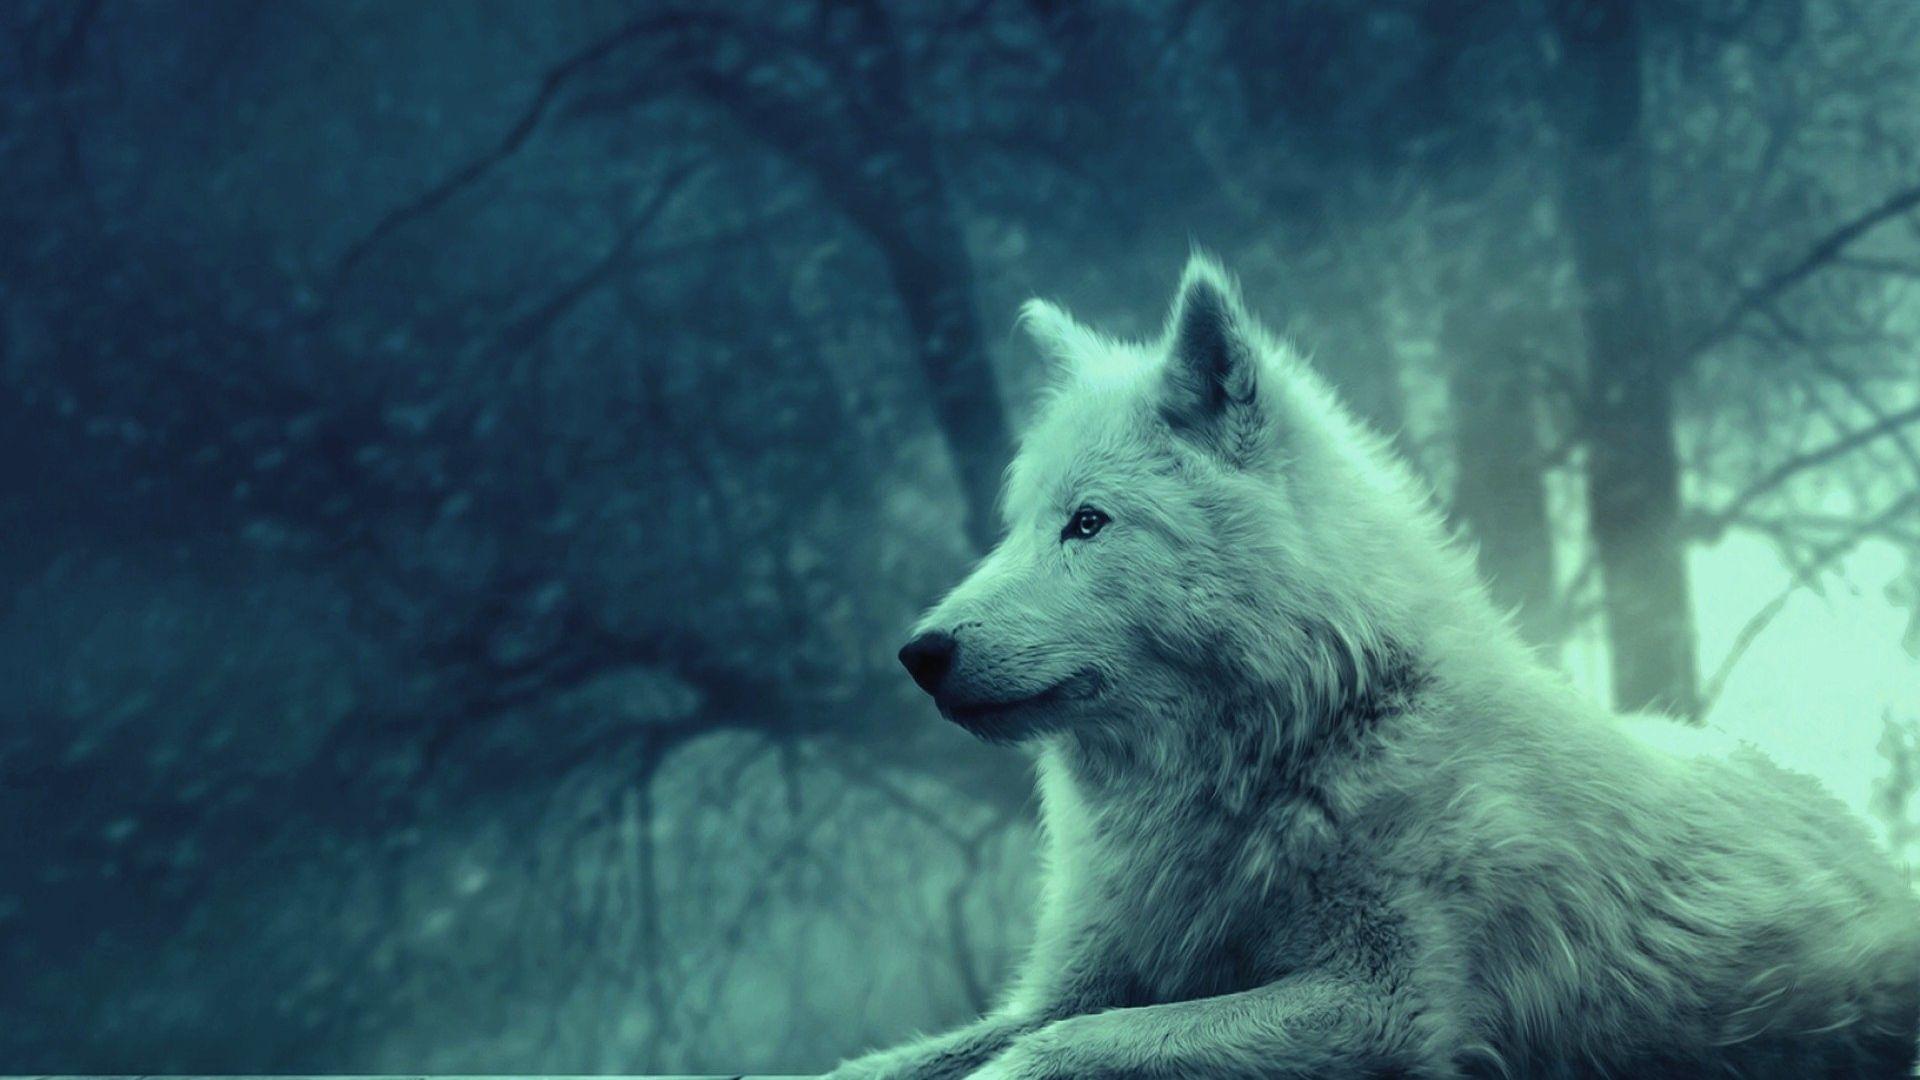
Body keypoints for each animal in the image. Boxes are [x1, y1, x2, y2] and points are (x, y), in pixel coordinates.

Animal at [828, 257, 1920, 1079]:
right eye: (1016, 527)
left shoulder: (1382, 1006)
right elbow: (896, 1060)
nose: (919, 653)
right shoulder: (1072, 984)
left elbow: (1060, 1052)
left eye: (1088, 523)